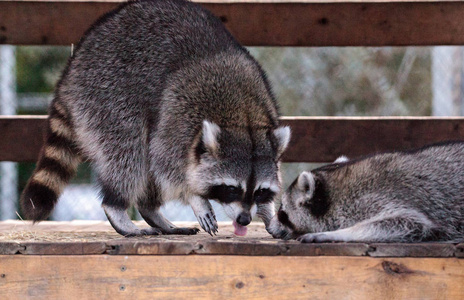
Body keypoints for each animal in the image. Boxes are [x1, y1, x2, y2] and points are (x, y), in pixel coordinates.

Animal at [21, 0, 292, 237]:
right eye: (232, 189)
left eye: (259, 192)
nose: (244, 219)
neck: (242, 118)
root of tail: (72, 65)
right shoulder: (178, 114)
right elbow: (165, 164)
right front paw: (196, 197)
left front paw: (269, 213)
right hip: (105, 89)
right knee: (130, 151)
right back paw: (117, 206)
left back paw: (151, 210)